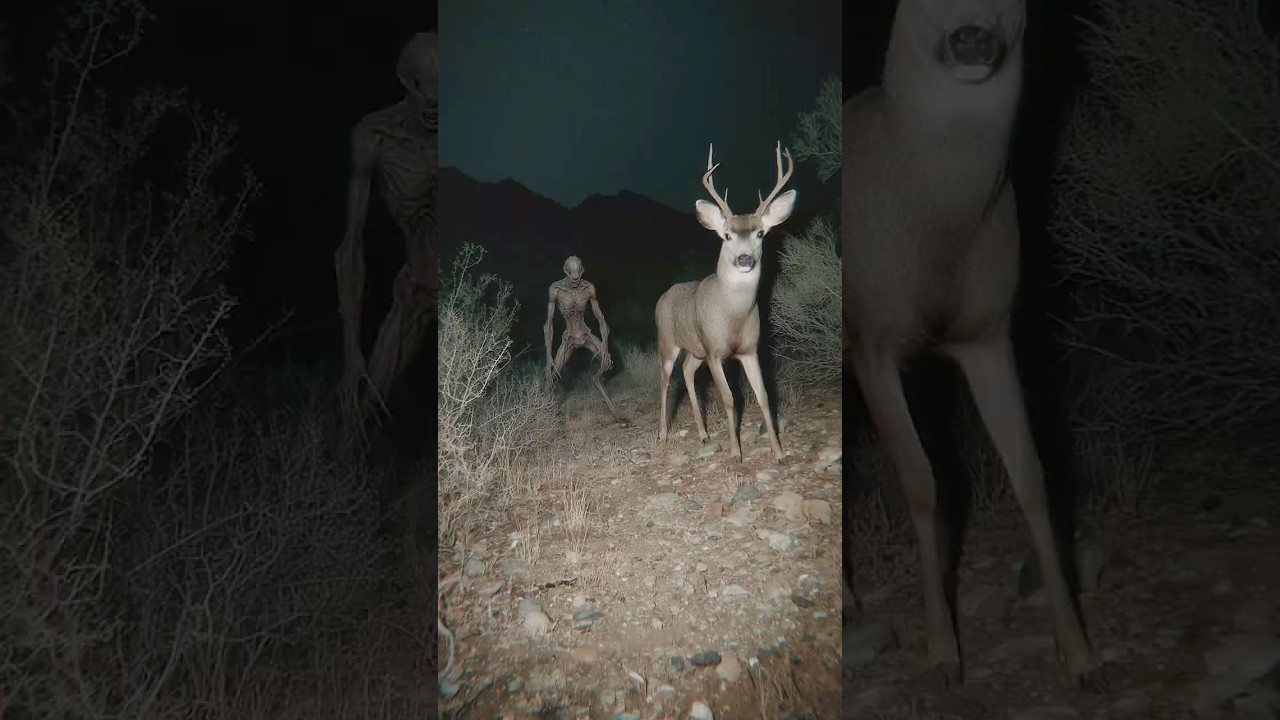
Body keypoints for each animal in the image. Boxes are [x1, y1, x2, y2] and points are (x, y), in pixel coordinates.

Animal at [655, 142, 797, 466]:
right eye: (728, 235)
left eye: (760, 233)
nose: (744, 258)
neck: (733, 316)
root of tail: (664, 295)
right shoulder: (715, 351)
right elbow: (730, 399)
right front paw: (735, 452)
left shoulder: (749, 350)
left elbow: (764, 396)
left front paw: (779, 453)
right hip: (668, 341)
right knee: (666, 380)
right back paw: (663, 434)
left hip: (695, 350)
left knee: (687, 372)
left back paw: (704, 434)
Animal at [842, 0, 1108, 691]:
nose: (970, 38)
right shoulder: (872, 342)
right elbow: (921, 481)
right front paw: (942, 653)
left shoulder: (988, 334)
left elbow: (1033, 472)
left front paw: (1081, 653)